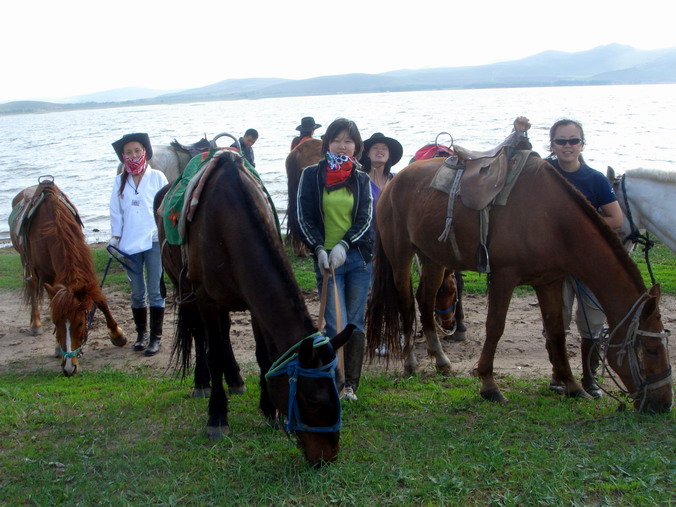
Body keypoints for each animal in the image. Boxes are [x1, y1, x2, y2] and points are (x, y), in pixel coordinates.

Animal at [9, 181, 127, 376]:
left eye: (80, 323)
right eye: (55, 322)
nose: (69, 368)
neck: (54, 223)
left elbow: (100, 300)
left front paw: (118, 335)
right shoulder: (47, 275)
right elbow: (53, 301)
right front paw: (57, 347)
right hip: (26, 260)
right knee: (32, 287)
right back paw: (35, 325)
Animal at [155, 150, 352, 464]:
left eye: (341, 384)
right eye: (311, 399)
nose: (328, 456)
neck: (228, 223)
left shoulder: (252, 304)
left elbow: (263, 356)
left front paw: (269, 411)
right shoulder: (207, 301)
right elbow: (213, 354)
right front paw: (217, 417)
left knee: (223, 336)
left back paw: (235, 379)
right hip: (186, 290)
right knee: (200, 336)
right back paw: (202, 382)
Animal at [368, 152, 672, 412]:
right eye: (650, 349)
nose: (663, 404)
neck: (553, 219)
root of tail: (394, 181)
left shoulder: (550, 280)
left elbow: (557, 332)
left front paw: (572, 386)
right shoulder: (504, 276)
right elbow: (495, 328)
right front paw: (489, 385)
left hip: (432, 258)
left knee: (425, 300)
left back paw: (442, 361)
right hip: (401, 256)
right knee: (407, 305)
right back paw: (410, 363)